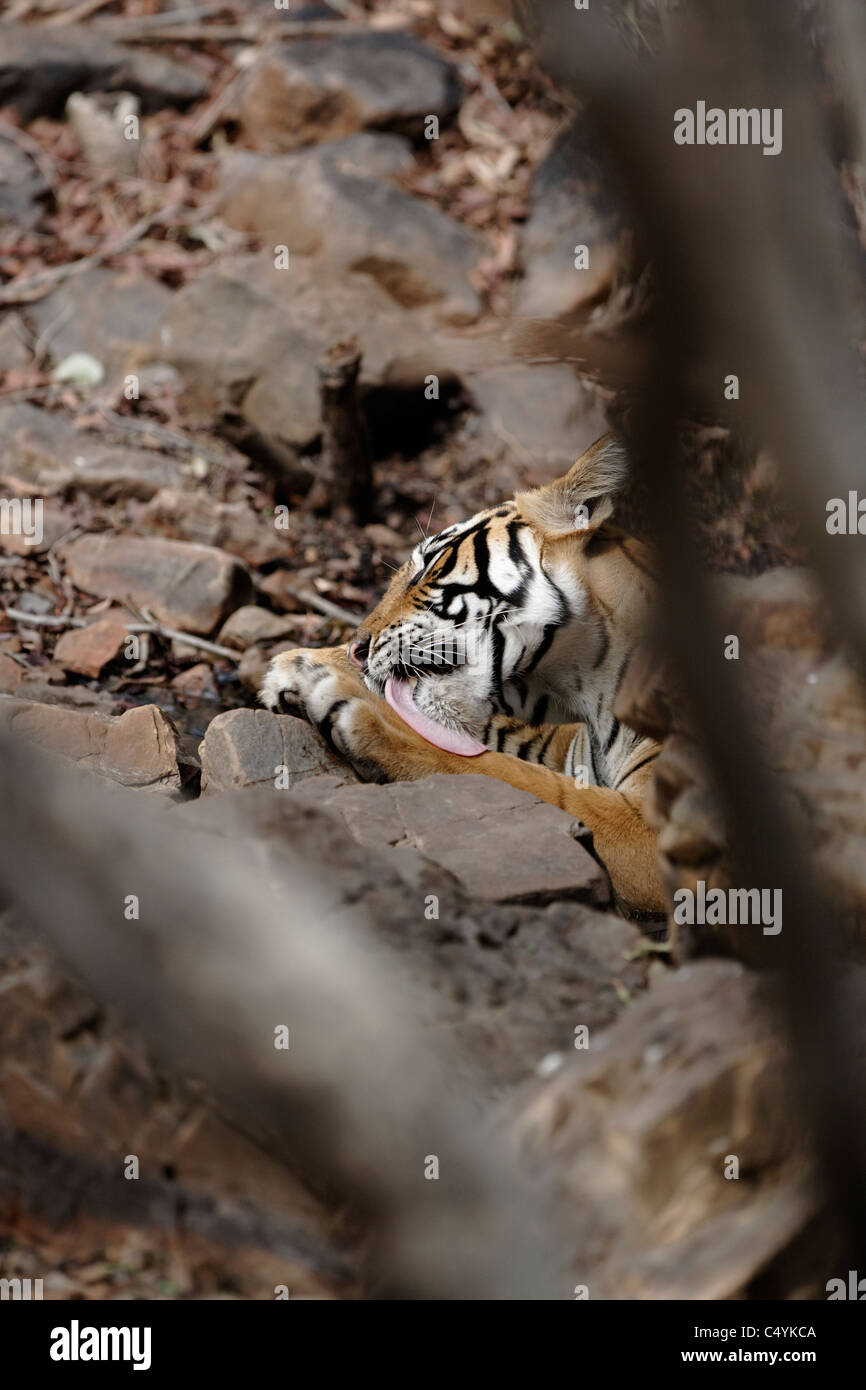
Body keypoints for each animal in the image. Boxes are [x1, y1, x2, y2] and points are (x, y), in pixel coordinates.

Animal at [261, 433, 667, 911]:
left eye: (428, 567)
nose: (357, 650)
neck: (591, 698)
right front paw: (303, 664)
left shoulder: (655, 832)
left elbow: (506, 774)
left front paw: (356, 705)